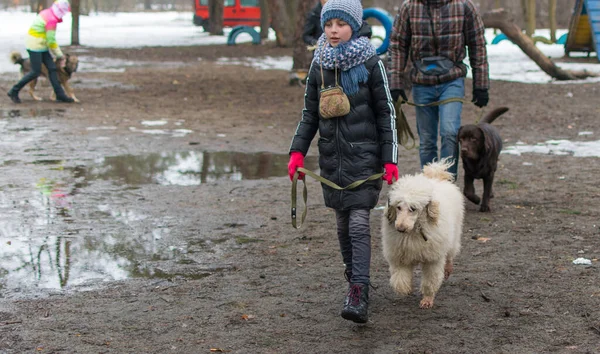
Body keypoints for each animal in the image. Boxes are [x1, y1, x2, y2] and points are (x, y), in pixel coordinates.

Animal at [382, 159, 466, 308]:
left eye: (413, 208)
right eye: (398, 207)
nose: (400, 228)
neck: (413, 232)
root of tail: (436, 177)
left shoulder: (432, 259)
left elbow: (430, 280)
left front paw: (427, 299)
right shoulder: (400, 256)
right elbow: (400, 278)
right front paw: (406, 288)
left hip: (454, 233)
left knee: (451, 253)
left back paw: (448, 268)